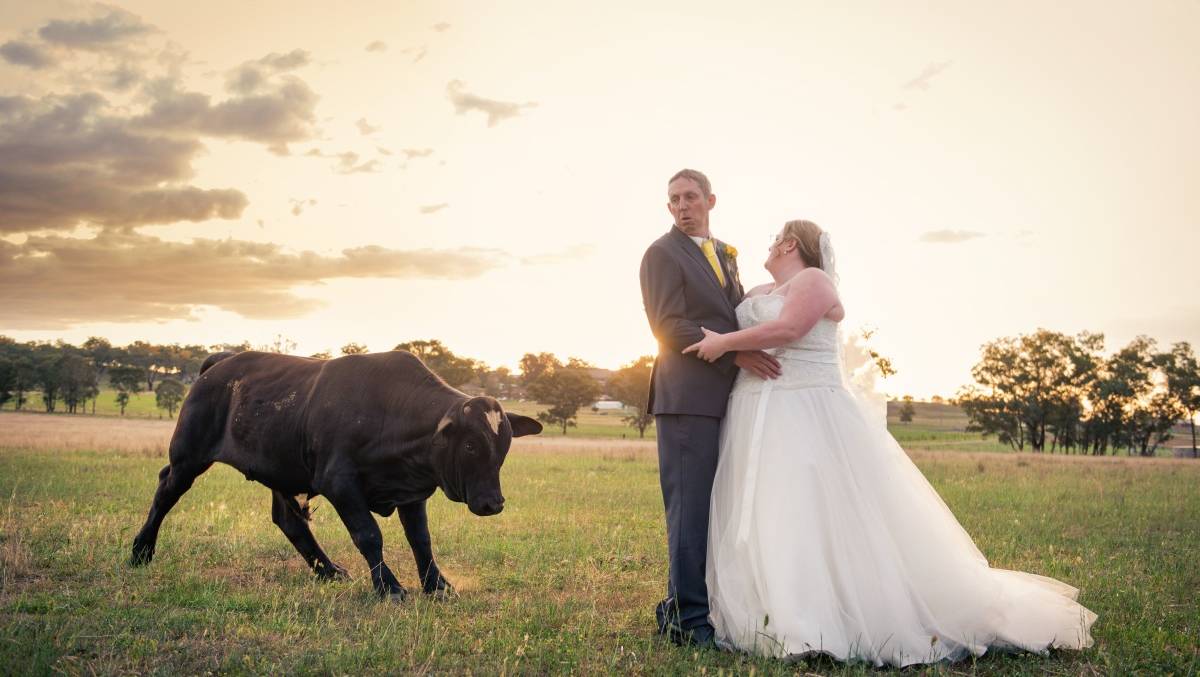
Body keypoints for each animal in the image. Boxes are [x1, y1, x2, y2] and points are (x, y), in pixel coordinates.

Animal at [132, 348, 544, 597]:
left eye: (505, 444)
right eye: (471, 445)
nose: (492, 503)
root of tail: (221, 362)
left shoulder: (411, 492)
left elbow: (421, 540)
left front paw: (438, 586)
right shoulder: (339, 484)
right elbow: (369, 535)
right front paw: (390, 588)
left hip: (280, 469)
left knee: (289, 520)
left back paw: (327, 570)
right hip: (188, 456)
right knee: (166, 491)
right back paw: (140, 550)